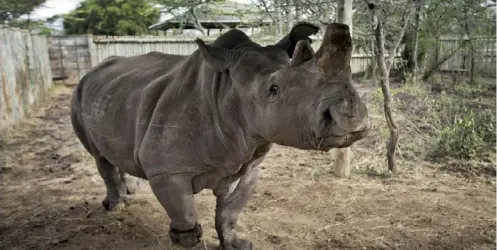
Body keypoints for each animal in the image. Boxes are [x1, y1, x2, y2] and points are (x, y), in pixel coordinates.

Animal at [71, 22, 370, 249]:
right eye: (273, 89)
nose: (351, 120)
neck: (226, 93)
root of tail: (93, 69)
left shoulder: (249, 164)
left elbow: (230, 212)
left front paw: (237, 245)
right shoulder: (166, 170)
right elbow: (186, 220)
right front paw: (188, 240)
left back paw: (129, 190)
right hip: (79, 92)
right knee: (98, 155)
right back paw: (116, 206)